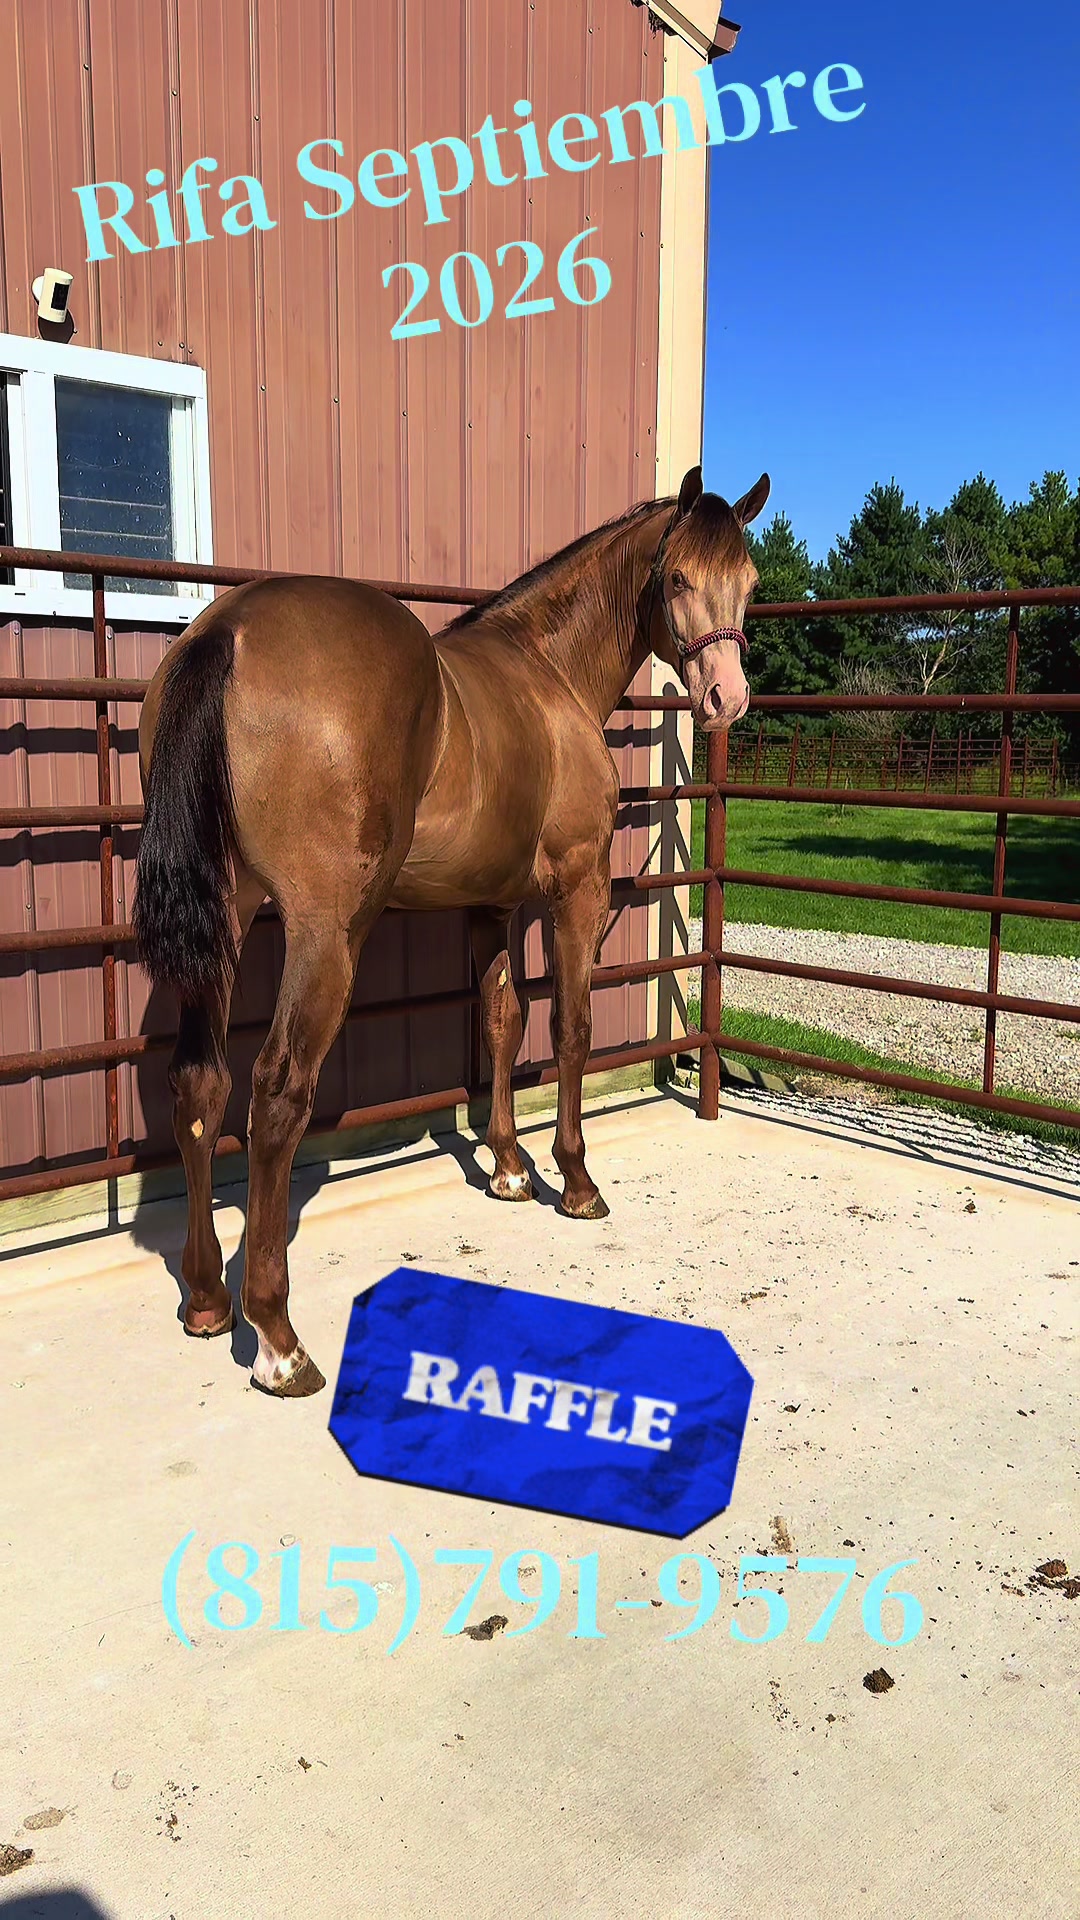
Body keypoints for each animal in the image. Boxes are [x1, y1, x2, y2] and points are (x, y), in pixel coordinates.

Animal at [133, 464, 769, 1397]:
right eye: (679, 578)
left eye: (749, 583)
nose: (727, 699)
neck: (548, 672)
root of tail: (229, 632)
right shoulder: (576, 891)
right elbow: (570, 1029)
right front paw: (575, 1180)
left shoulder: (490, 906)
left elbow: (502, 1023)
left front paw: (506, 1166)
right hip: (325, 932)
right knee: (277, 1092)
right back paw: (279, 1340)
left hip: (226, 915)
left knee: (199, 1083)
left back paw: (210, 1300)